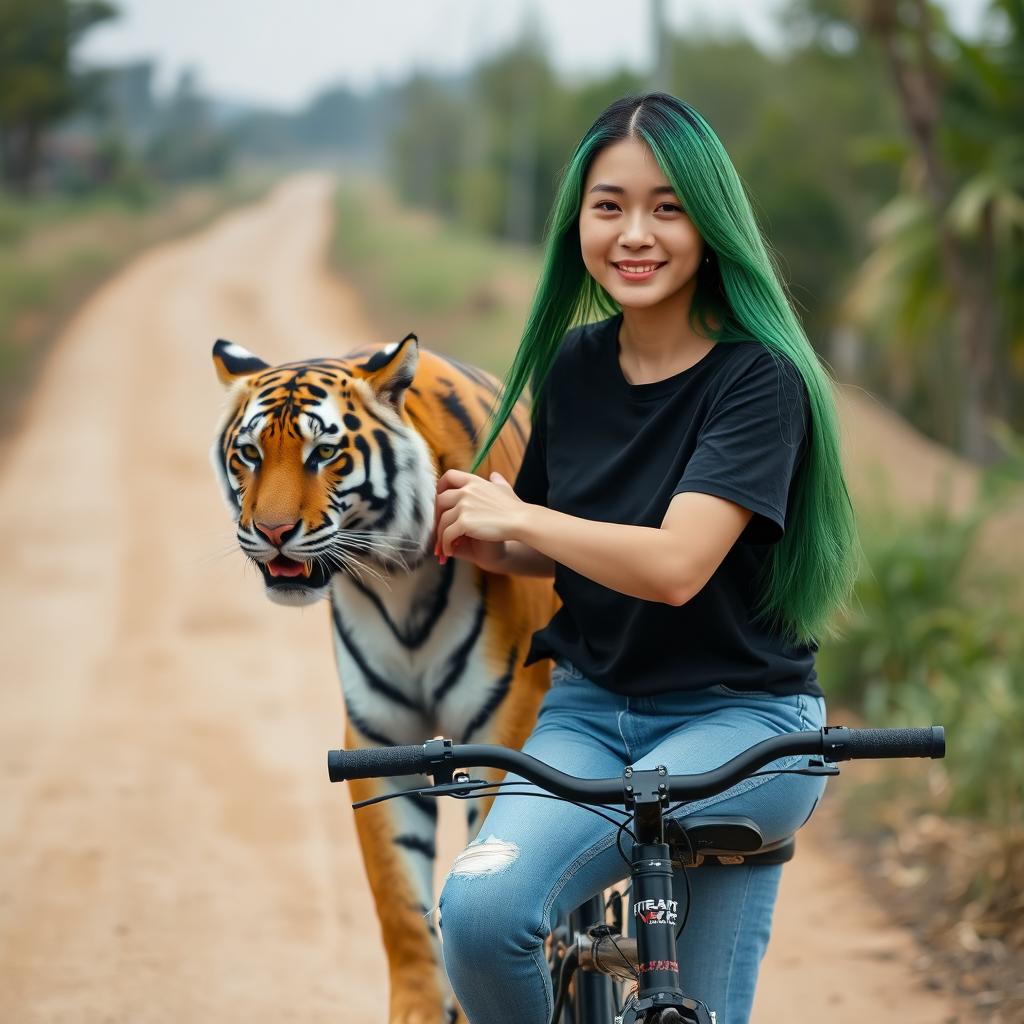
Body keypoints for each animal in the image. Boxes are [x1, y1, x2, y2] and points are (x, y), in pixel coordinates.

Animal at [210, 335, 557, 1024]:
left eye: (323, 454)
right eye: (250, 454)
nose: (271, 533)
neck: (397, 578)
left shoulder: (502, 725)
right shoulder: (379, 737)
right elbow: (398, 900)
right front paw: (422, 1007)